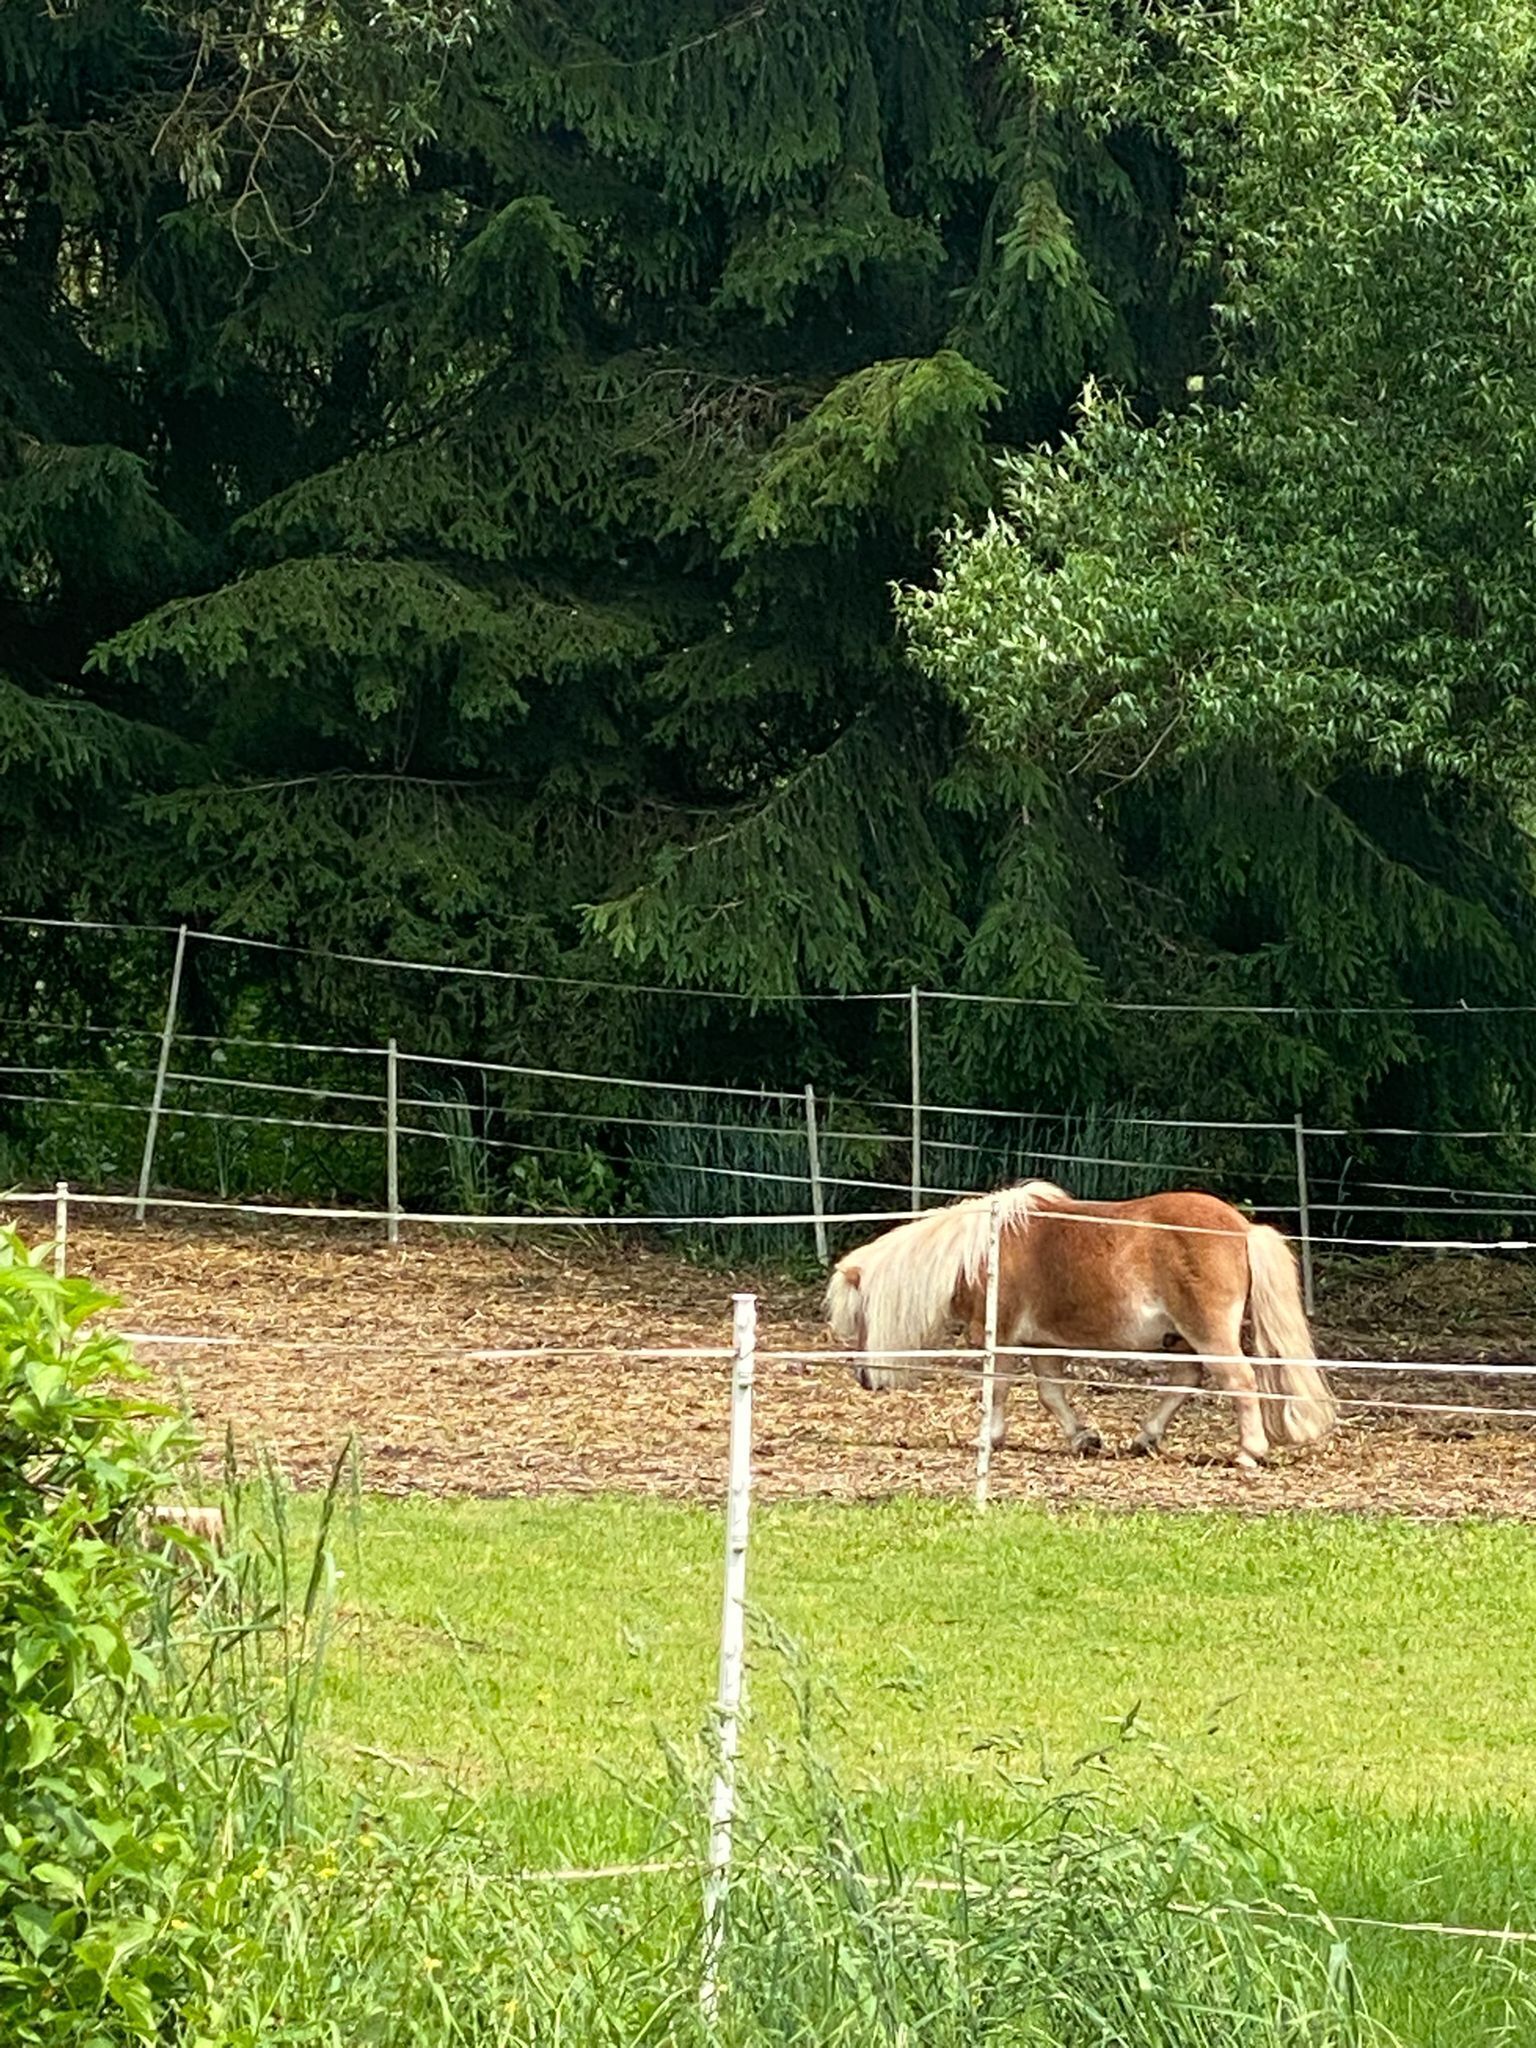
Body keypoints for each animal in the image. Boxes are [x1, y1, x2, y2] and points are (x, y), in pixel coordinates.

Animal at [824, 1181, 1336, 1471]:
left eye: (861, 1317)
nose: (862, 1377)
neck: (985, 1252)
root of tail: (1243, 1229)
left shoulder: (1003, 1339)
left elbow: (998, 1389)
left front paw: (987, 1437)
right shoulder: (1041, 1344)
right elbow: (1052, 1395)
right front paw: (1084, 1438)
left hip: (1209, 1335)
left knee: (1240, 1383)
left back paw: (1249, 1453)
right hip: (1182, 1340)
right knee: (1184, 1381)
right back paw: (1145, 1438)